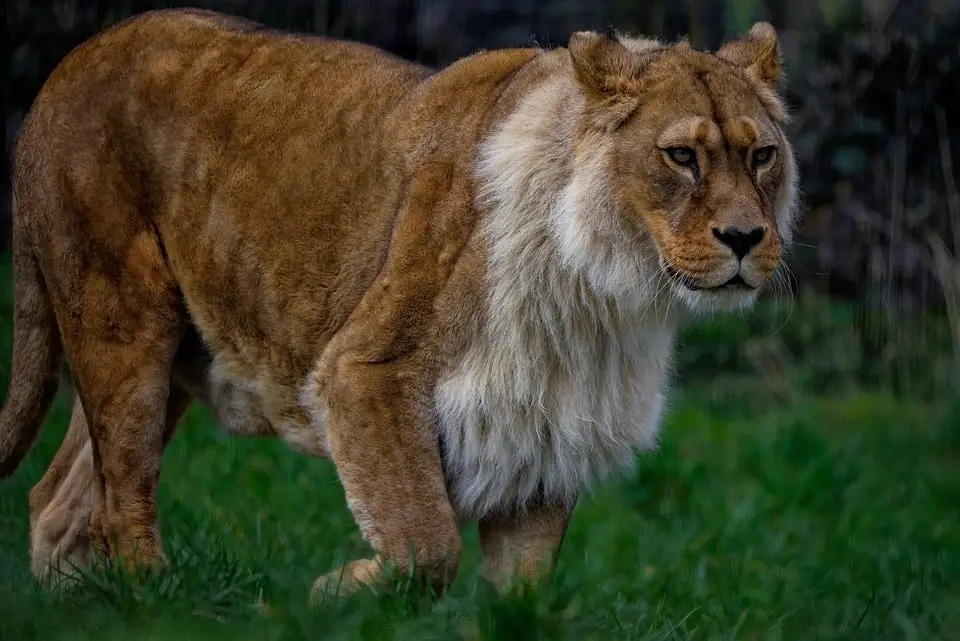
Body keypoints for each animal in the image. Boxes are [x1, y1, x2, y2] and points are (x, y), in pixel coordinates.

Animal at [0, 8, 800, 600]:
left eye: (761, 155)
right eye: (682, 156)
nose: (744, 237)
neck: (604, 292)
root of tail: (65, 69)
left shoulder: (546, 419)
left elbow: (522, 590)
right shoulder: (365, 370)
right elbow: (425, 543)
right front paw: (333, 590)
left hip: (166, 359)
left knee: (57, 499)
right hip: (123, 321)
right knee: (121, 497)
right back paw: (156, 600)